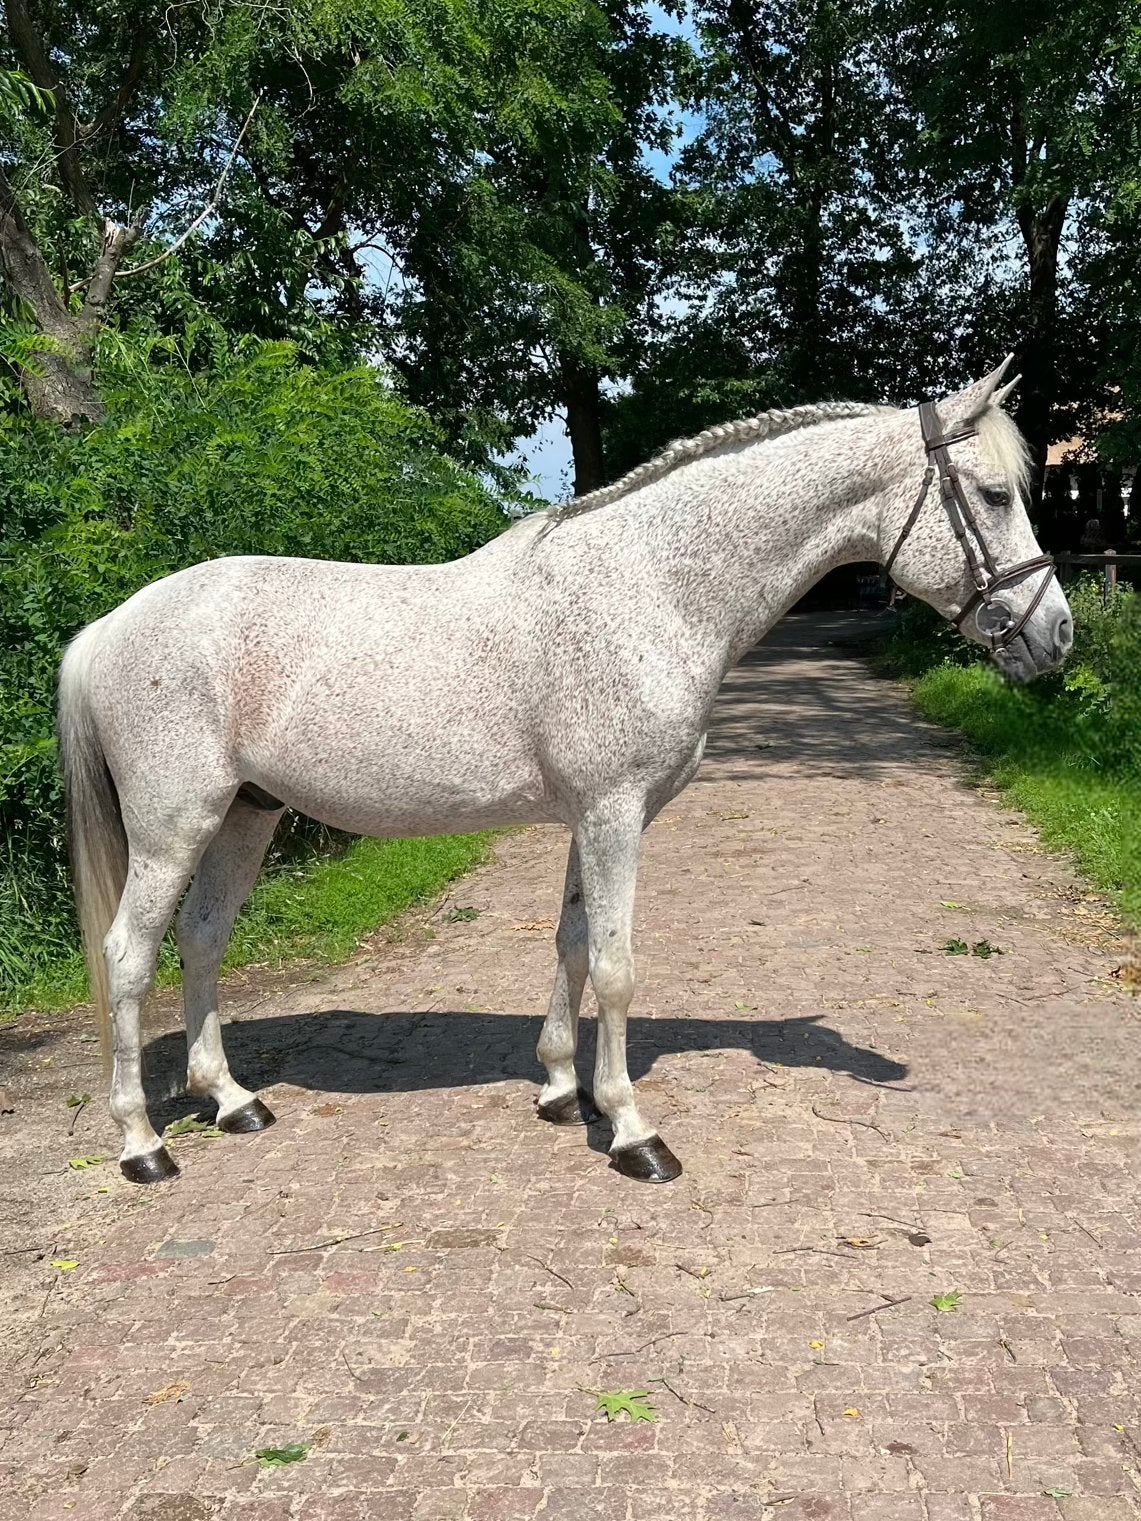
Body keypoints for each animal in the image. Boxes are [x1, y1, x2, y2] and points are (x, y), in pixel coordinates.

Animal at [57, 358, 1073, 1185]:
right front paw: (631, 1131)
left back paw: (232, 1101)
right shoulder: (614, 812)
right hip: (175, 827)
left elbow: (573, 944)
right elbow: (617, 966)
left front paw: (559, 1089)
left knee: (203, 939)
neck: (650, 588)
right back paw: (143, 1145)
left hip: (246, 815)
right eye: (990, 494)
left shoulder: (597, 816)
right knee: (129, 956)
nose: (1053, 634)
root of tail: (108, 626)